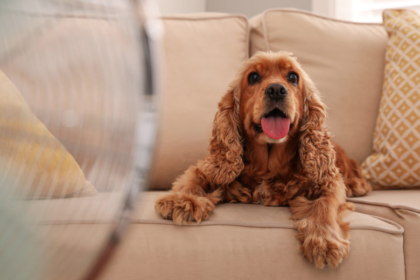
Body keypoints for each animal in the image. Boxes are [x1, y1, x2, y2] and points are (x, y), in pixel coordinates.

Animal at [155, 51, 370, 268]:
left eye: (293, 77)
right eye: (253, 77)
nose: (276, 89)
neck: (267, 166)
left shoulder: (329, 182)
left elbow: (325, 203)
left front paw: (324, 239)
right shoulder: (206, 168)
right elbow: (193, 180)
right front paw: (183, 201)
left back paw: (357, 185)